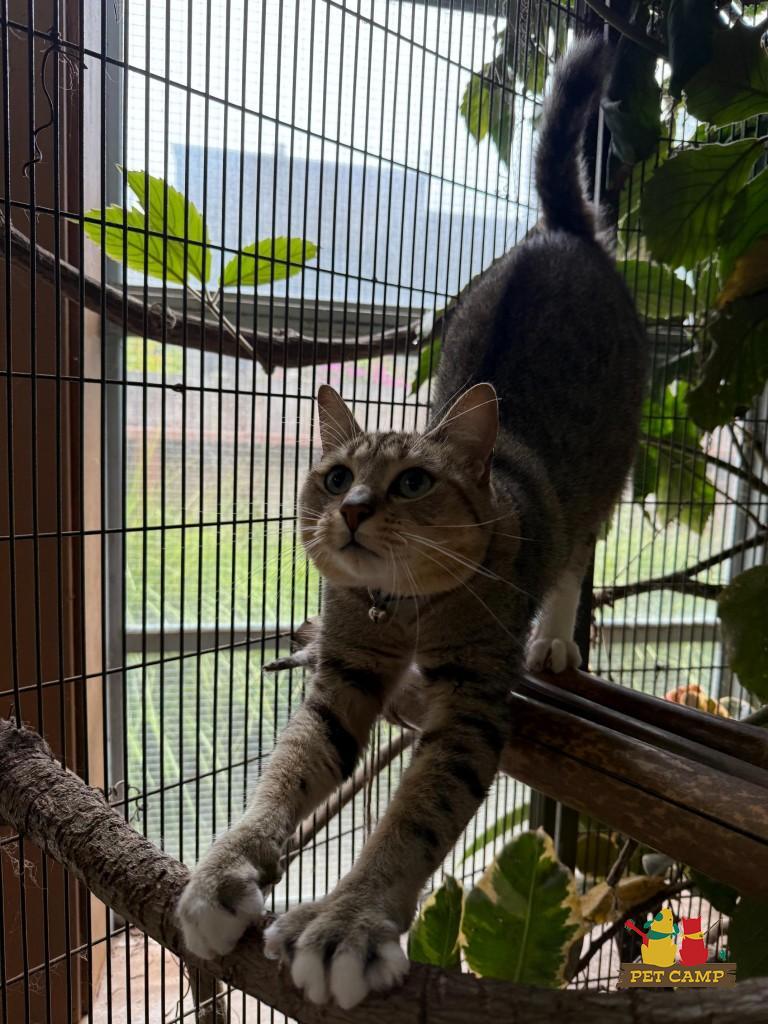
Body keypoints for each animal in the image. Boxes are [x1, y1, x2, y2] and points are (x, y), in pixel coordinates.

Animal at [177, 35, 647, 1009]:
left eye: (414, 483)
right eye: (336, 476)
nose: (353, 511)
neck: (402, 607)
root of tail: (564, 227)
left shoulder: (471, 705)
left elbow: (416, 813)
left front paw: (346, 924)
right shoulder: (345, 672)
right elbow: (287, 768)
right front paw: (221, 873)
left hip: (611, 471)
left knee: (579, 551)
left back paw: (557, 638)